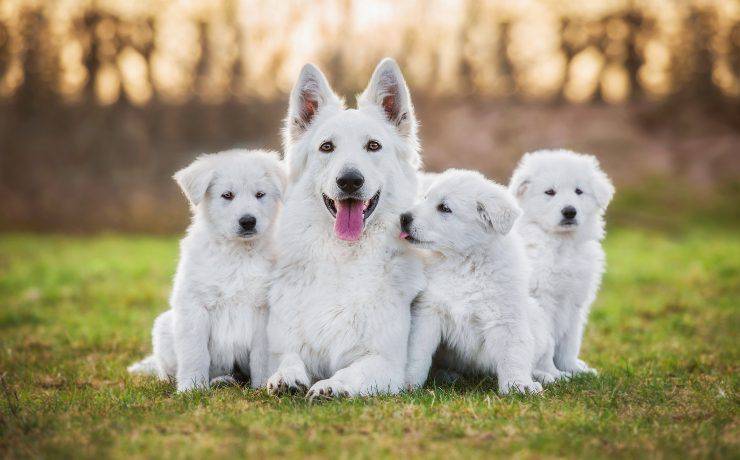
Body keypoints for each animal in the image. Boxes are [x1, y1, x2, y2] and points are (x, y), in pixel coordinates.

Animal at [129, 148, 284, 392]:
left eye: (260, 194)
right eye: (227, 195)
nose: (248, 221)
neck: (236, 253)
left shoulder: (263, 309)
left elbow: (261, 355)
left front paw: (261, 387)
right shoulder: (194, 304)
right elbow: (195, 353)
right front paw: (191, 389)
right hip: (164, 327)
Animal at [264, 58, 424, 398]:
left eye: (373, 146)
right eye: (327, 147)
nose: (350, 180)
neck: (344, 257)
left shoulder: (386, 363)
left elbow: (355, 371)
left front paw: (332, 385)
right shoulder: (281, 348)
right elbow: (288, 357)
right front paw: (286, 376)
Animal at [398, 171, 560, 394]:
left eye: (444, 208)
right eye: (425, 198)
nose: (403, 218)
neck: (464, 263)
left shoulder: (506, 318)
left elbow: (513, 354)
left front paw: (518, 386)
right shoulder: (428, 311)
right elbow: (417, 351)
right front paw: (408, 383)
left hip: (538, 322)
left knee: (543, 359)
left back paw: (547, 376)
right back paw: (449, 376)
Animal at [508, 149, 612, 376]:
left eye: (578, 191)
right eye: (550, 192)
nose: (569, 211)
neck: (562, 244)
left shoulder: (576, 303)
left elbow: (570, 342)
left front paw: (573, 370)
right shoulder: (542, 301)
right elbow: (547, 342)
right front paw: (553, 374)